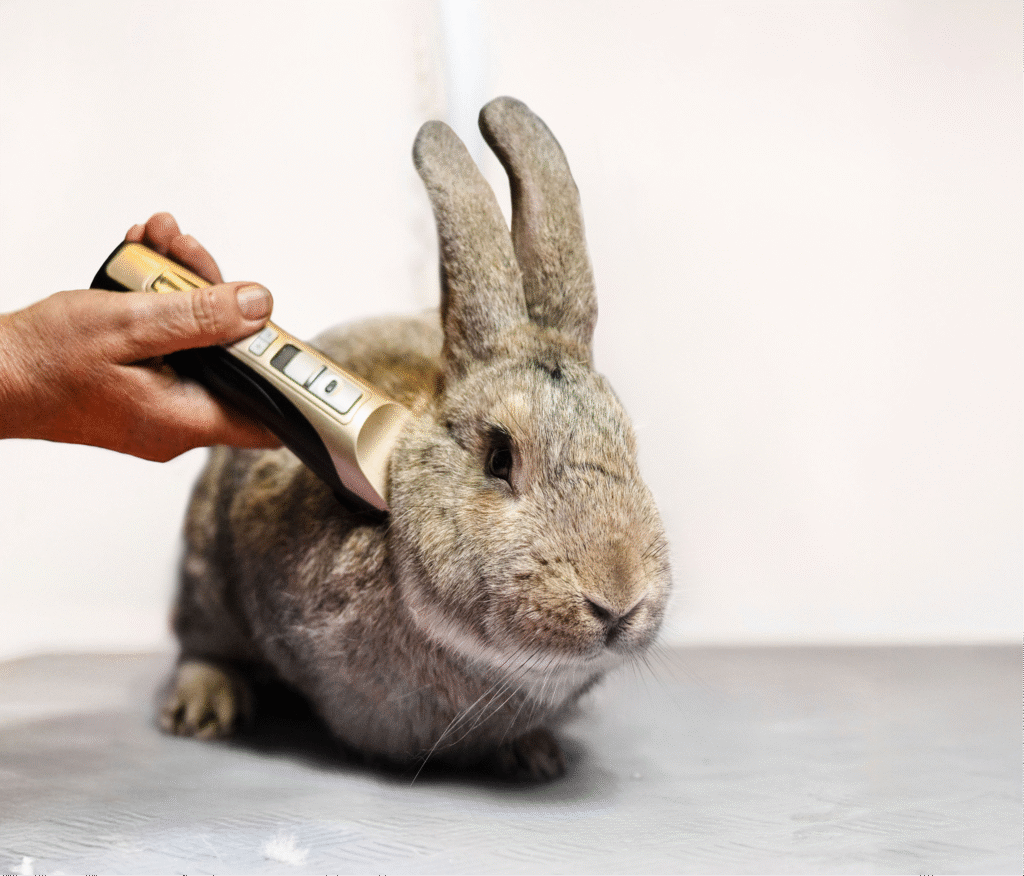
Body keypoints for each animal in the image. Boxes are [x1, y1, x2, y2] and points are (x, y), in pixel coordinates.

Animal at [158, 97, 672, 781]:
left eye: (631, 450)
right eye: (500, 457)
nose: (617, 602)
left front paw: (535, 756)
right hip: (204, 561)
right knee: (200, 637)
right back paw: (201, 708)